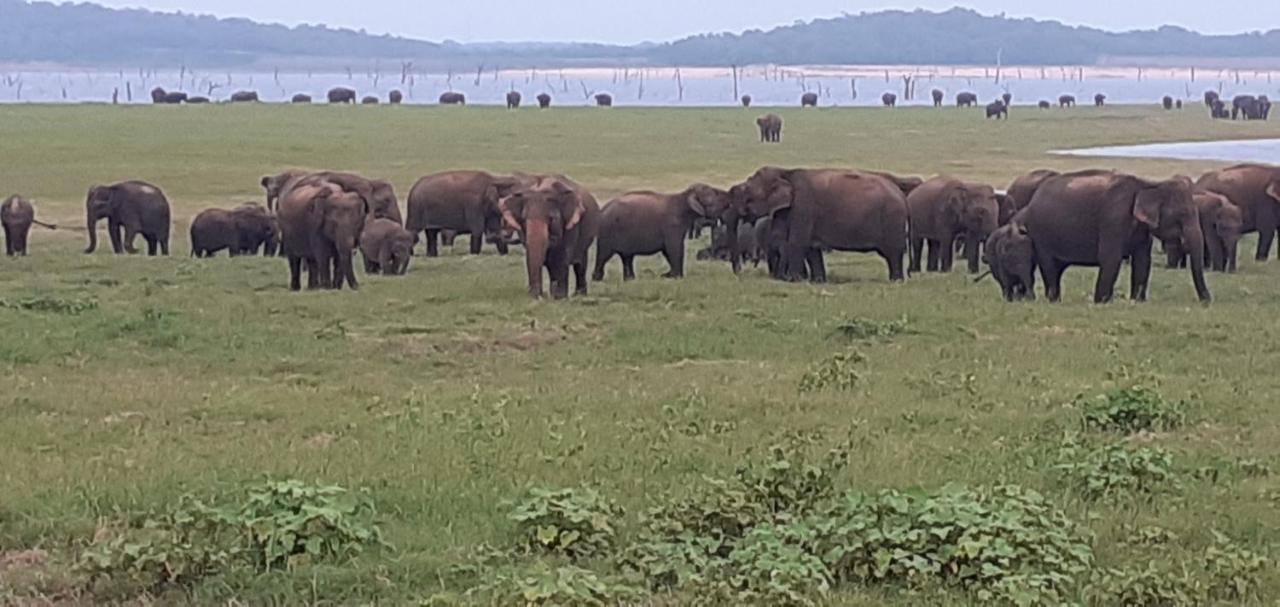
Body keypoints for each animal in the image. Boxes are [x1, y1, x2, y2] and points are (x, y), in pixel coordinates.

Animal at [591, 183, 732, 280]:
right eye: (715, 193)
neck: (684, 196)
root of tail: (602, 209)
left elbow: (669, 250)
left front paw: (669, 275)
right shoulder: (672, 226)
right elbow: (674, 248)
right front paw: (676, 277)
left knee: (627, 257)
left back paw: (630, 280)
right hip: (607, 231)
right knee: (604, 255)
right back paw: (597, 279)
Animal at [732, 167, 911, 281]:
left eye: (747, 193)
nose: (738, 273)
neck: (785, 172)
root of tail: (901, 195)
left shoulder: (804, 207)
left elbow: (797, 243)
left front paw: (795, 280)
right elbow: (811, 249)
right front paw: (817, 281)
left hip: (892, 218)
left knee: (893, 253)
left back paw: (896, 281)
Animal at [1008, 169, 1208, 303]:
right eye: (1182, 215)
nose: (1207, 301)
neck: (1149, 183)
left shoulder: (1141, 229)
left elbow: (1143, 260)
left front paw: (1137, 301)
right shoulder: (1113, 219)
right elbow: (1110, 257)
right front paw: (1103, 302)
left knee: (1057, 268)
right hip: (1041, 234)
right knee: (1049, 266)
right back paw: (1054, 300)